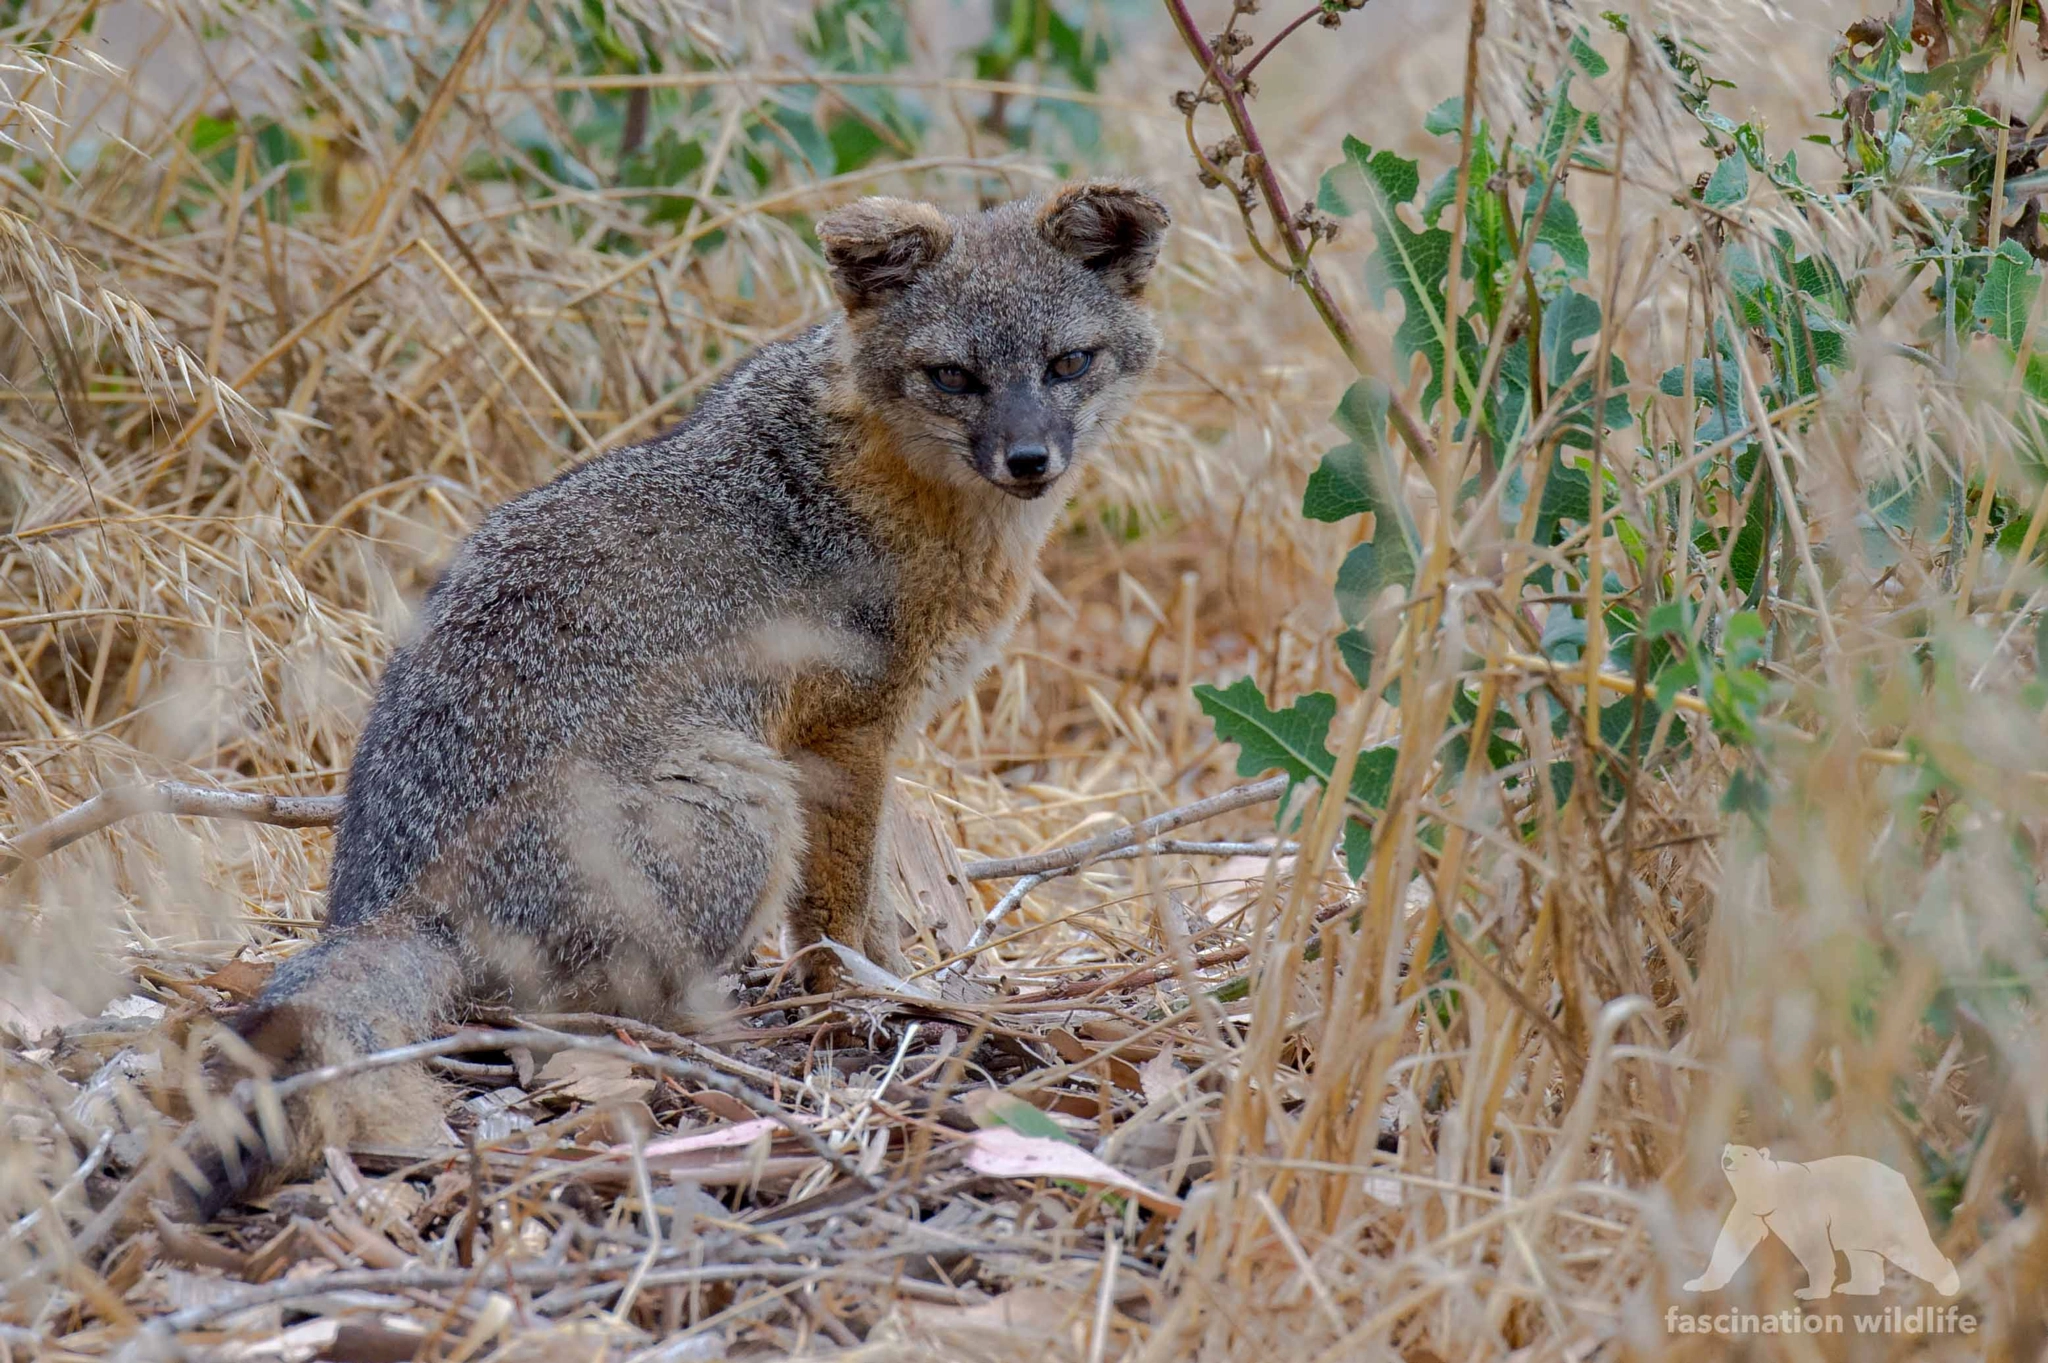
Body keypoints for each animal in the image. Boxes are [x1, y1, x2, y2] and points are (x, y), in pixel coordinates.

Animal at [182, 182, 1170, 1215]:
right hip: (747, 796)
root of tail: (394, 906)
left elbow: (879, 905)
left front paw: (921, 991)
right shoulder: (840, 740)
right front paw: (861, 1001)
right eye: (954, 376)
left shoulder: (870, 745)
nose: (1029, 457)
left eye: (1068, 363)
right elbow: (840, 914)